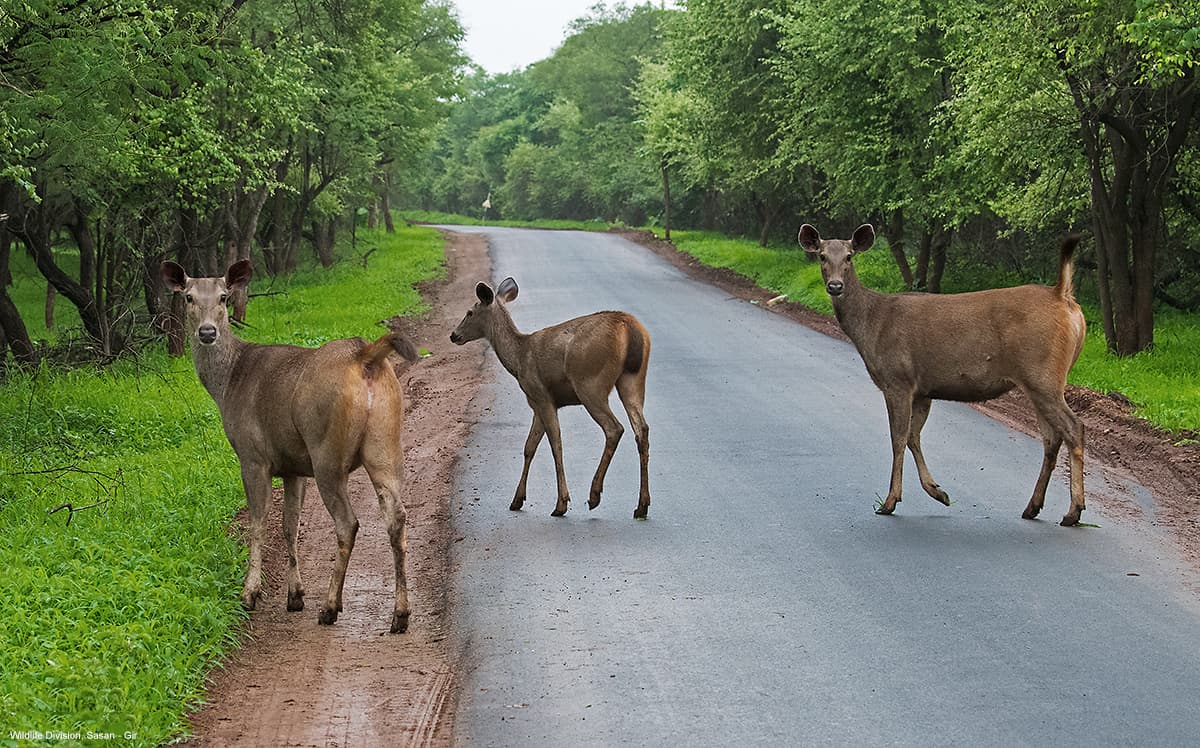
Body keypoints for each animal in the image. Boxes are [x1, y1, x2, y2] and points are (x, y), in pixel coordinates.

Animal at [161, 259, 419, 633]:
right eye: (189, 297)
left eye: (224, 296)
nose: (207, 332)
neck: (227, 382)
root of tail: (366, 355)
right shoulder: (293, 466)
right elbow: (289, 525)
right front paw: (294, 595)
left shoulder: (253, 455)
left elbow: (258, 521)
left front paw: (250, 593)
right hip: (385, 444)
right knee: (396, 516)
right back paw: (400, 614)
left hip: (326, 451)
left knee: (348, 522)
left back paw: (330, 606)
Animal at [450, 277, 652, 519]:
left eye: (470, 312)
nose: (454, 335)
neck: (518, 360)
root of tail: (630, 327)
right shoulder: (537, 404)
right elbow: (529, 447)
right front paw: (517, 499)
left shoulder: (541, 396)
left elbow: (555, 443)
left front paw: (561, 503)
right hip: (632, 380)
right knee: (642, 429)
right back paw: (642, 505)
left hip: (589, 382)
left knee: (614, 428)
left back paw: (594, 495)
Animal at [798, 224, 1088, 526]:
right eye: (821, 256)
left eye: (849, 256)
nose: (835, 286)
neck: (871, 323)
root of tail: (1062, 296)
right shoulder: (922, 389)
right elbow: (913, 437)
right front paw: (938, 492)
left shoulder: (897, 379)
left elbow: (897, 438)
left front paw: (890, 501)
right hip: (1040, 380)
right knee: (1051, 438)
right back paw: (1033, 507)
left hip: (1041, 373)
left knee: (1073, 427)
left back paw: (1073, 510)